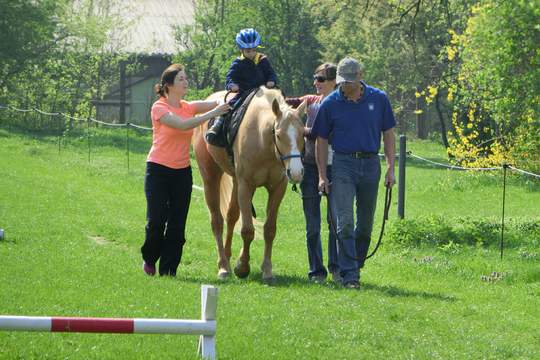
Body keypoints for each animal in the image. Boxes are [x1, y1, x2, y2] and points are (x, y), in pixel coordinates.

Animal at [192, 87, 306, 282]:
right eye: (278, 135)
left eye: (303, 135)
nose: (297, 172)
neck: (263, 140)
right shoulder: (246, 186)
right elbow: (247, 230)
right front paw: (242, 267)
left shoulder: (278, 188)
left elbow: (269, 229)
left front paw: (267, 270)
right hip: (211, 177)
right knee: (217, 221)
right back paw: (223, 266)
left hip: (236, 182)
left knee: (231, 217)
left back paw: (227, 257)